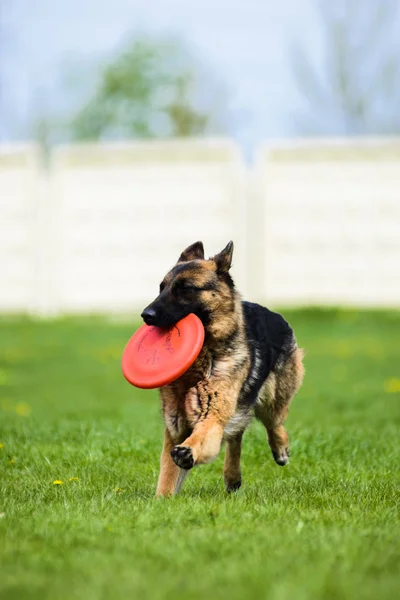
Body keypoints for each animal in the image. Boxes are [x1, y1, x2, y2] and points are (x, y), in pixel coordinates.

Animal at [141, 240, 304, 496]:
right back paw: (232, 475)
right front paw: (162, 500)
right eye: (161, 288)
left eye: (186, 288)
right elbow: (167, 475)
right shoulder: (176, 427)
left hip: (272, 399)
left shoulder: (213, 416)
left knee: (274, 423)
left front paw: (188, 451)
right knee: (237, 435)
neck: (200, 363)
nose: (145, 315)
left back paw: (280, 450)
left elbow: (200, 437)